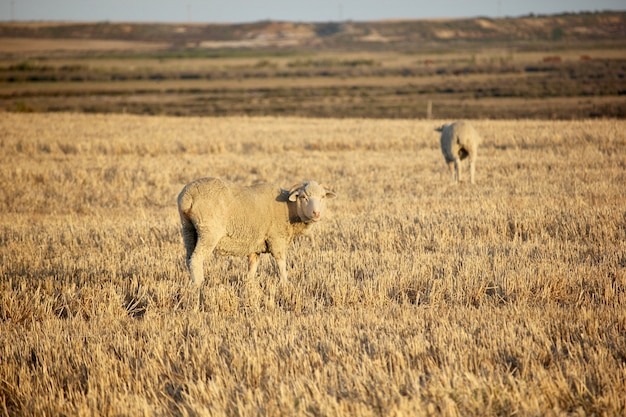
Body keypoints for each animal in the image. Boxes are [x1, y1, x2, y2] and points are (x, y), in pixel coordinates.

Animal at [177, 177, 336, 284]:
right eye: (303, 197)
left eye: (322, 197)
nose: (316, 213)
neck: (289, 209)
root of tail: (188, 196)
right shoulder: (276, 238)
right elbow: (281, 262)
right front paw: (285, 283)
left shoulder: (255, 243)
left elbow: (253, 265)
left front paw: (248, 284)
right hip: (208, 231)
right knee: (196, 259)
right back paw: (199, 285)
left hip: (188, 229)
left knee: (189, 258)